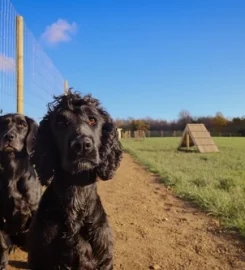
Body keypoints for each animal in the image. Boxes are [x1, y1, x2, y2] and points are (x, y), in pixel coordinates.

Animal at [0, 113, 42, 268]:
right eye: (3, 124)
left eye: (22, 125)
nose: (8, 136)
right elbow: (2, 242)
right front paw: (3, 261)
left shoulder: (35, 210)